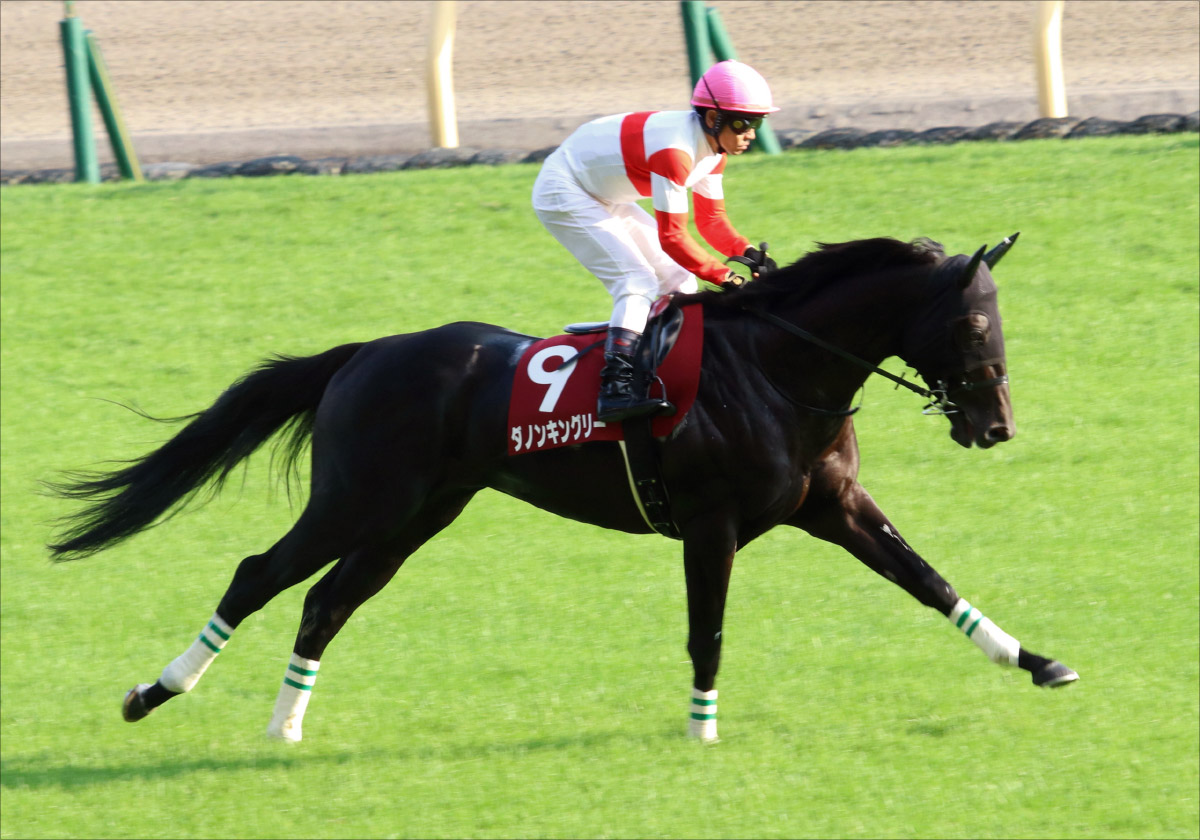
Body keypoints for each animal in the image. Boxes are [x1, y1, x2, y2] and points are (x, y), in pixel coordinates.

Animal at [48, 234, 1078, 743]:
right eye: (974, 324)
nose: (996, 424)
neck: (780, 367)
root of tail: (365, 353)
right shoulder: (711, 522)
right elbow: (707, 630)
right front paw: (702, 735)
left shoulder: (831, 508)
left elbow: (930, 581)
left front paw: (1037, 662)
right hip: (359, 500)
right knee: (259, 574)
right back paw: (153, 693)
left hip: (414, 516)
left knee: (325, 603)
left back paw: (284, 726)